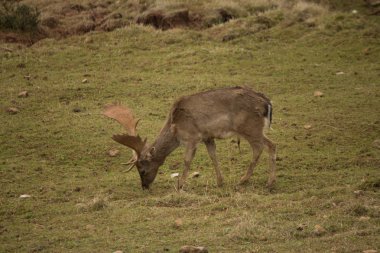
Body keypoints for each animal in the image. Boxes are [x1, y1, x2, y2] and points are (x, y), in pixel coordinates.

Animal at [104, 86, 276, 189]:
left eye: (142, 170)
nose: (144, 186)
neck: (174, 127)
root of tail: (267, 103)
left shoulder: (192, 137)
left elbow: (187, 160)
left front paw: (180, 184)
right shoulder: (207, 137)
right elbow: (213, 156)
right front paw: (219, 181)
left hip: (250, 128)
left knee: (268, 145)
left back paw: (257, 181)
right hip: (253, 130)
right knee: (266, 146)